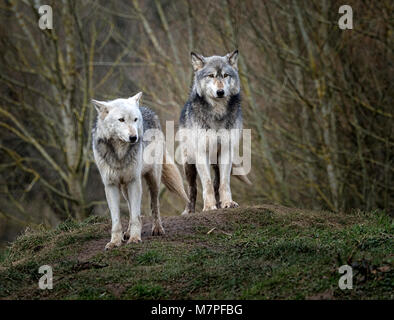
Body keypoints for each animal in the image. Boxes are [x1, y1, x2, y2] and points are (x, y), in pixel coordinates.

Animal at [92, 92, 188, 250]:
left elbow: (137, 216)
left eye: (135, 119)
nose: (134, 137)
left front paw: (135, 238)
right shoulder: (111, 185)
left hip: (153, 180)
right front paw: (115, 242)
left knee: (154, 204)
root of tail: (147, 109)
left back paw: (157, 229)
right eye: (121, 120)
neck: (120, 154)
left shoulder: (134, 182)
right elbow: (117, 220)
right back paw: (127, 232)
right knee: (131, 208)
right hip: (125, 188)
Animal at [179, 50, 249, 215]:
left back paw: (220, 203)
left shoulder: (226, 151)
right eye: (211, 76)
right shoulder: (200, 152)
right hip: (188, 163)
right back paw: (189, 211)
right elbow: (207, 183)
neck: (217, 113)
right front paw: (209, 206)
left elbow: (223, 183)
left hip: (217, 163)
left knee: (217, 182)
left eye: (225, 75)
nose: (220, 92)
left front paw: (227, 203)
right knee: (192, 188)